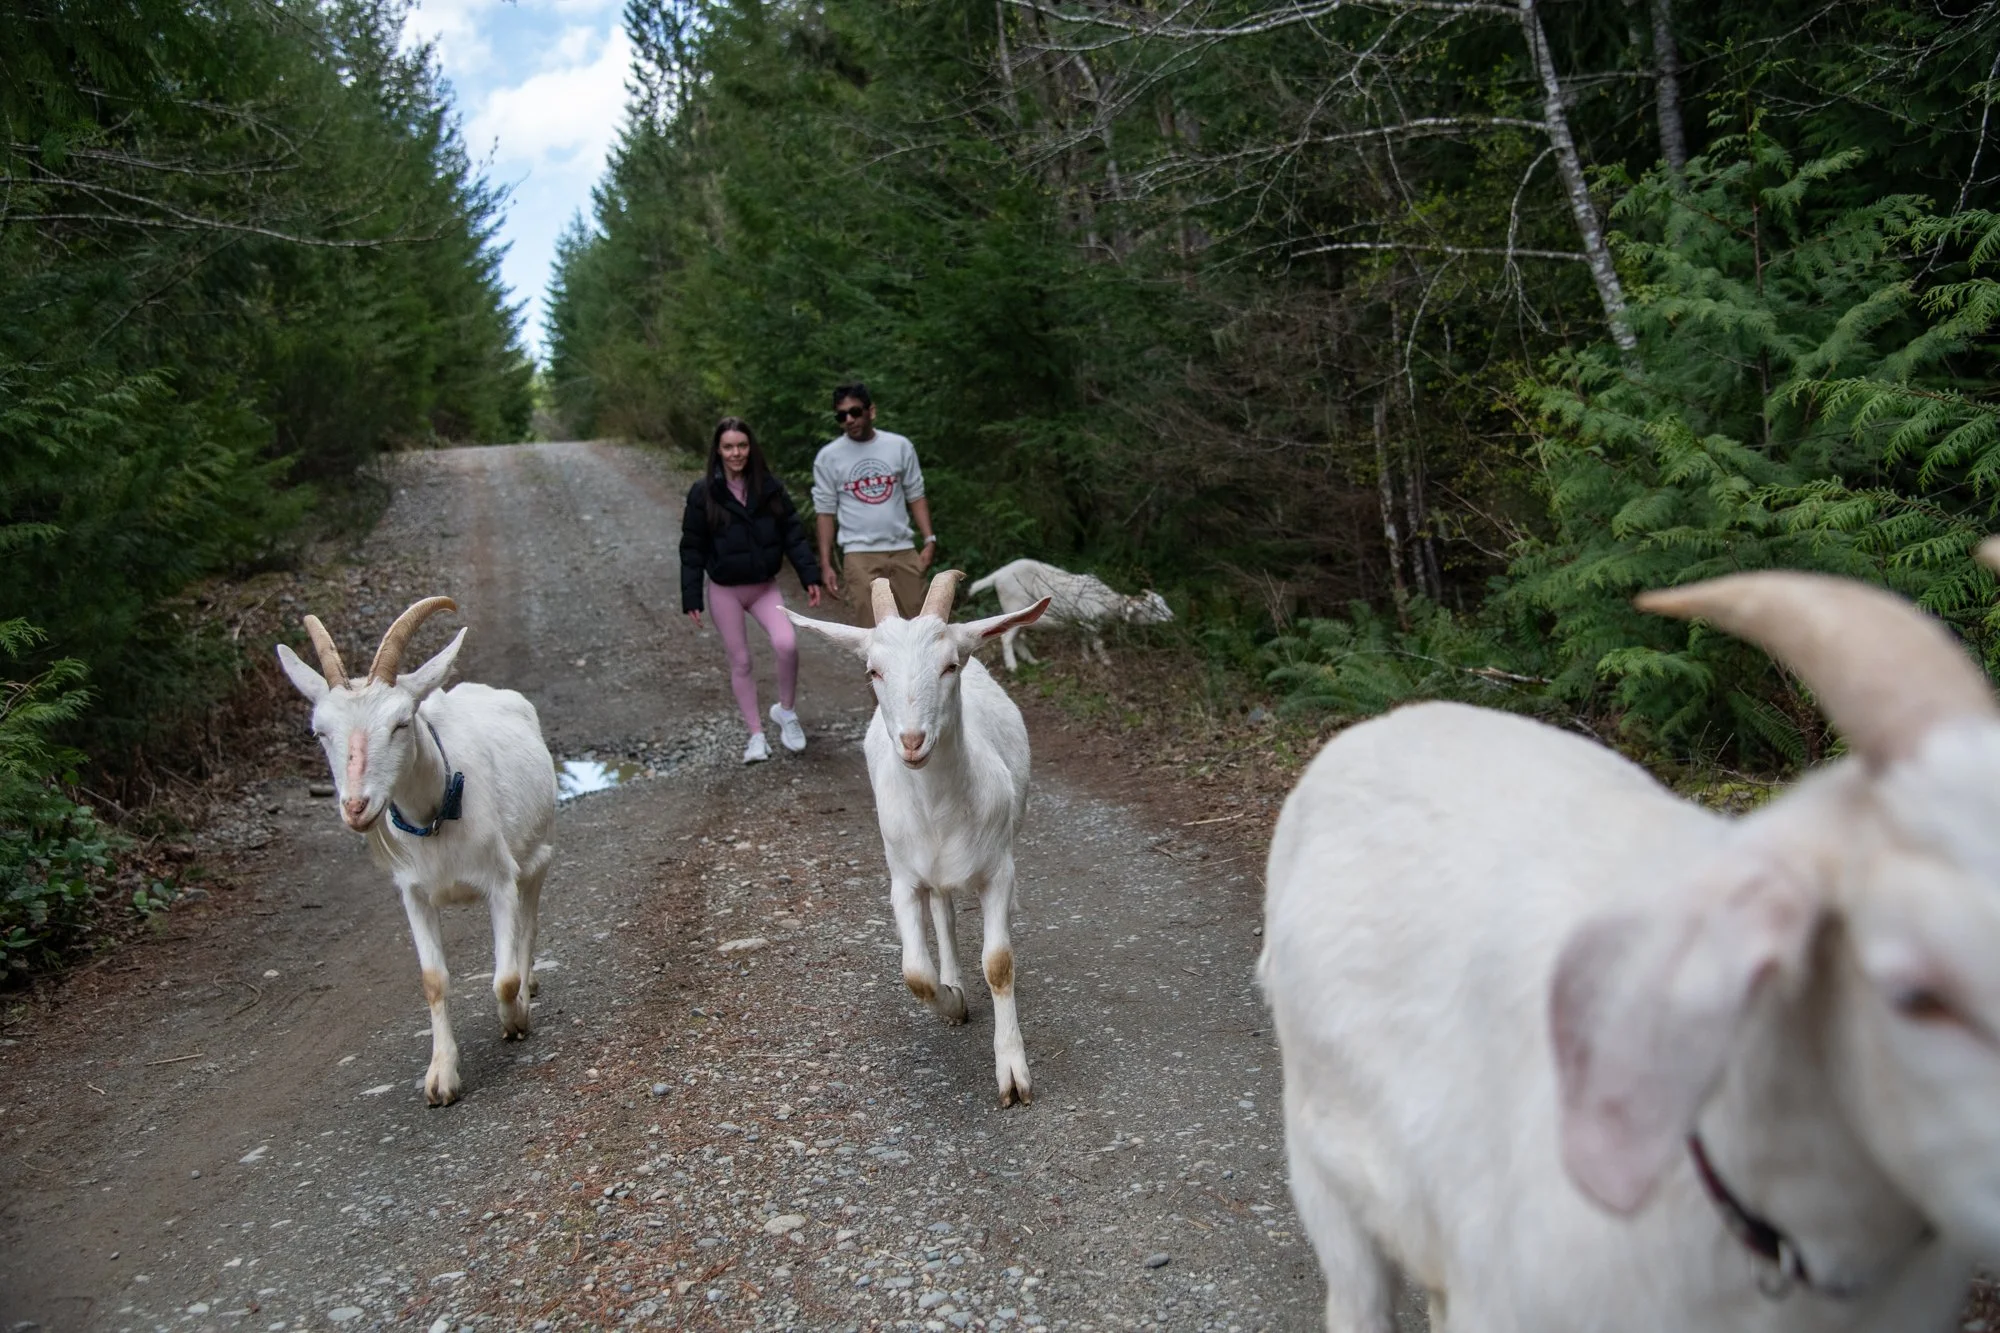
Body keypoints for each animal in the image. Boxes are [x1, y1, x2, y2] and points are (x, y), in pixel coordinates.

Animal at [276, 597, 556, 1106]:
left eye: (401, 723)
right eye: (318, 733)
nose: (356, 807)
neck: (437, 815)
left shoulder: (500, 881)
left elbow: (504, 977)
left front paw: (515, 1018)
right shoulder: (414, 894)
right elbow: (433, 980)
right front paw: (441, 1077)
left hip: (536, 856)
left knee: (529, 922)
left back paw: (528, 988)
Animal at [788, 572, 1050, 1106]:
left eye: (949, 665)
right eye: (873, 671)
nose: (912, 742)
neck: (938, 811)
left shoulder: (999, 871)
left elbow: (999, 963)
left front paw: (1013, 1073)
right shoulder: (903, 879)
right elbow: (914, 973)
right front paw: (951, 1003)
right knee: (943, 913)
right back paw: (953, 982)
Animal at [967, 558, 1171, 673]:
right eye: (1153, 608)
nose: (1171, 617)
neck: (1107, 602)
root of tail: (998, 575)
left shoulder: (1083, 623)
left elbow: (1084, 640)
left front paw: (1086, 658)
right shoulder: (1091, 622)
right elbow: (1098, 643)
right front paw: (1106, 662)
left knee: (1017, 638)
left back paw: (1032, 661)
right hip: (1015, 604)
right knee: (1008, 639)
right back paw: (1012, 667)